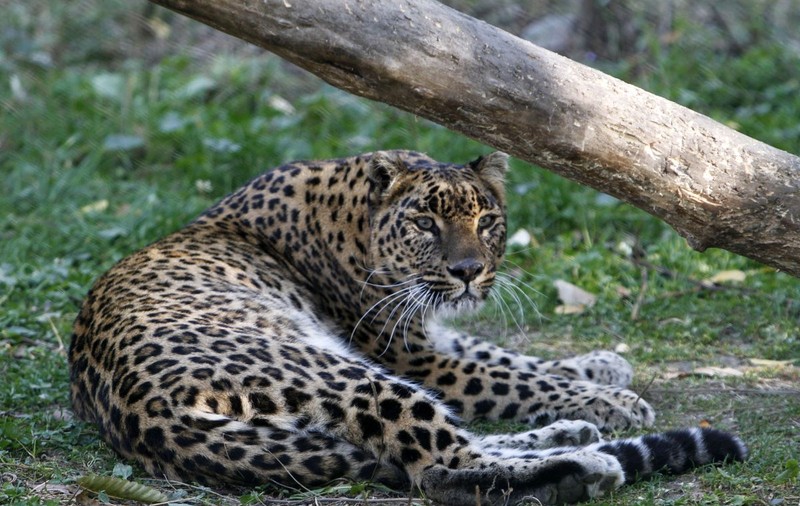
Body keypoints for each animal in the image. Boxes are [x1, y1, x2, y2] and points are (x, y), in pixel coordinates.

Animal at [69, 150, 746, 505]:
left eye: (487, 220)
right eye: (425, 223)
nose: (470, 272)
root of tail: (145, 419)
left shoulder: (428, 337)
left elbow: (509, 357)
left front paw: (604, 369)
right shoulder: (415, 356)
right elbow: (509, 376)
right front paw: (617, 401)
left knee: (442, 446)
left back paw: (569, 436)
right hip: (348, 374)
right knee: (439, 468)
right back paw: (586, 461)